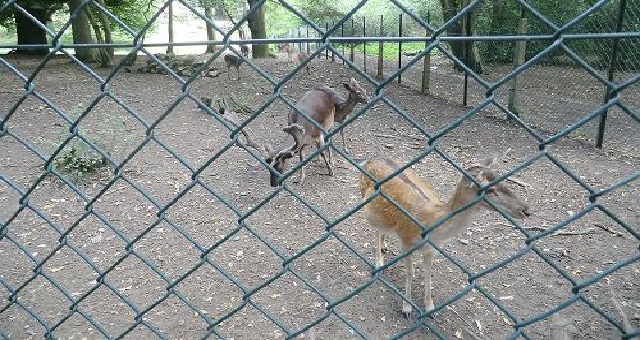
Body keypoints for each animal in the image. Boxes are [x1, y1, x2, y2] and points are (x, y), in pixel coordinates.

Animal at [360, 158, 528, 318]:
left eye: (503, 180)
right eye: (489, 189)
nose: (526, 210)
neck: (432, 226)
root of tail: (371, 160)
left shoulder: (430, 248)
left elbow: (427, 273)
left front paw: (430, 308)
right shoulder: (406, 241)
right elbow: (410, 272)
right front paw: (406, 309)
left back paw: (384, 247)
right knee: (376, 230)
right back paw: (379, 262)